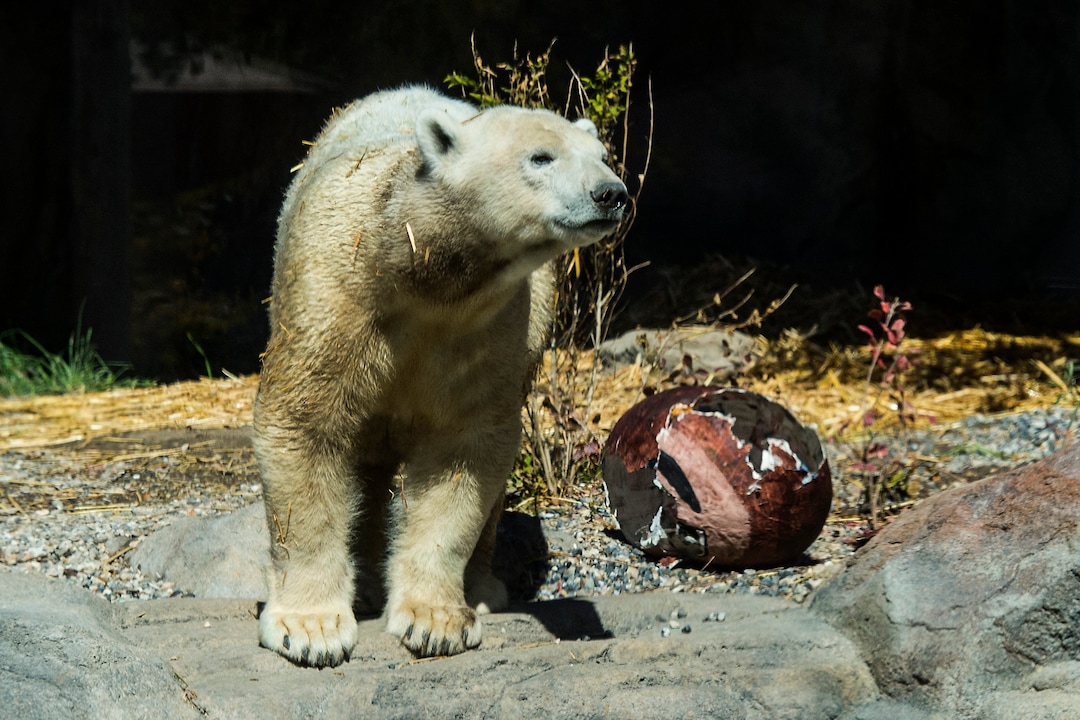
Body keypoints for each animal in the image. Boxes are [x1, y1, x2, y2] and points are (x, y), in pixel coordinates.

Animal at [253, 85, 627, 667]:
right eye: (541, 157)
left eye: (602, 155)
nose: (611, 193)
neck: (420, 271)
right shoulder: (336, 292)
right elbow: (305, 423)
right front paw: (310, 629)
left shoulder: (491, 324)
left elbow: (464, 449)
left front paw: (435, 622)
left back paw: (481, 589)